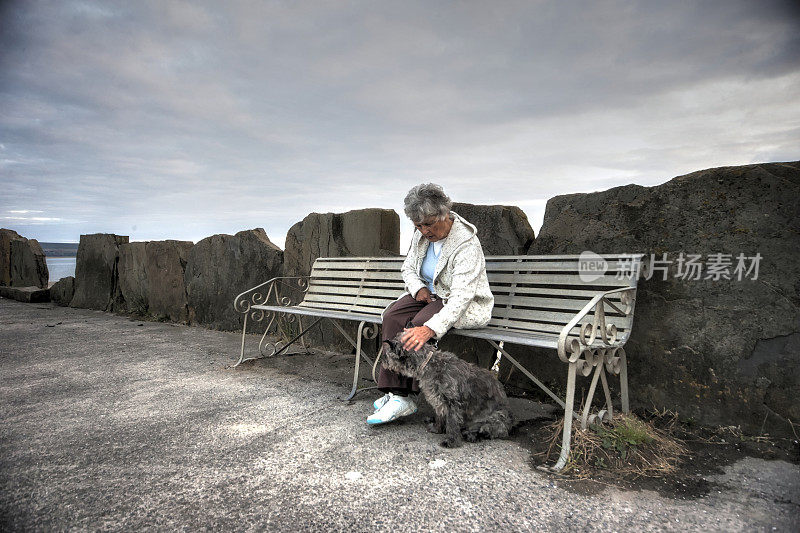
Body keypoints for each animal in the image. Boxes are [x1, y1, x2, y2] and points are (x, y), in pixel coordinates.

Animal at [382, 334, 512, 446]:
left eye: (386, 355)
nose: (382, 362)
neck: (429, 363)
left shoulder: (452, 403)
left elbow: (452, 422)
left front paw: (451, 441)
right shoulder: (438, 401)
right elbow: (440, 416)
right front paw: (437, 428)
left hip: (496, 418)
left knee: (486, 431)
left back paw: (471, 435)